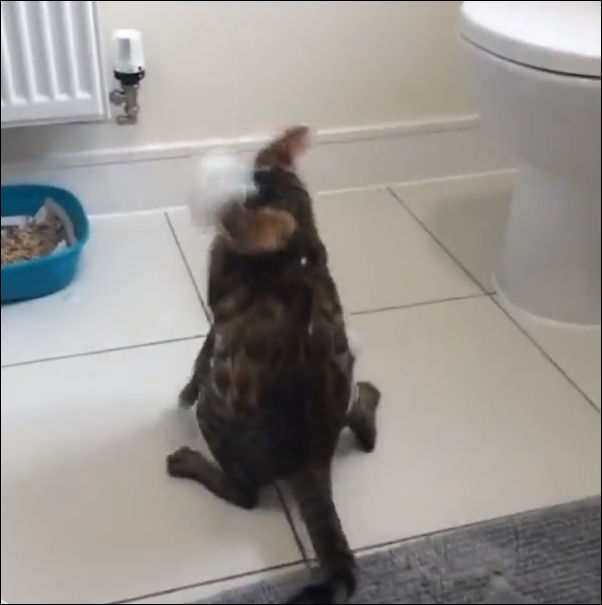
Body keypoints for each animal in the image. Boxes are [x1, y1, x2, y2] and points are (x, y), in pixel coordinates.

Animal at [167, 127, 380, 604]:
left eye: (236, 209)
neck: (299, 247)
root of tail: (313, 457)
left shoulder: (217, 321)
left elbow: (196, 363)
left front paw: (179, 397)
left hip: (216, 412)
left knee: (243, 493)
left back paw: (188, 462)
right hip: (347, 375)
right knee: (365, 429)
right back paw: (369, 398)